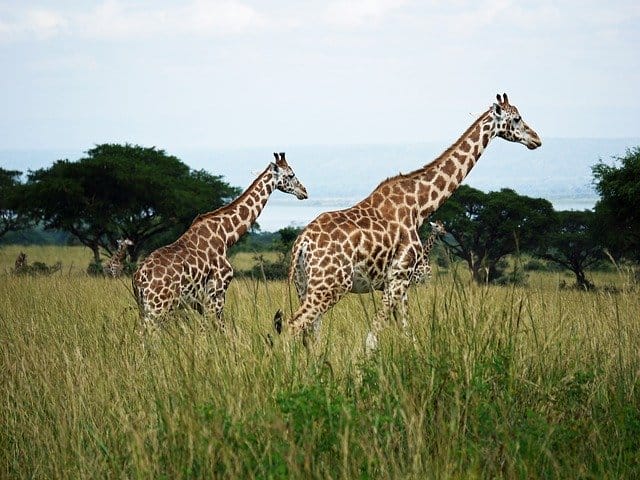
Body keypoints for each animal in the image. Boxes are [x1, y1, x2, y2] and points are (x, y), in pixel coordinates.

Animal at [133, 153, 308, 332]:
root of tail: (139, 279)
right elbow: (219, 330)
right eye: (291, 175)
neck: (225, 235)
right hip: (158, 308)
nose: (304, 191)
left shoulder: (200, 302)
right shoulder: (217, 292)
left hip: (145, 308)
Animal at [274, 93, 541, 350]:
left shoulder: (399, 284)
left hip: (305, 285)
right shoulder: (399, 277)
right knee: (293, 325)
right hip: (331, 285)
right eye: (516, 118)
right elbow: (372, 339)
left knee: (311, 333)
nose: (536, 139)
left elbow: (406, 333)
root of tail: (302, 244)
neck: (419, 206)